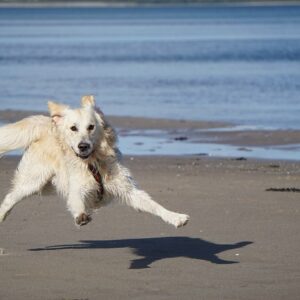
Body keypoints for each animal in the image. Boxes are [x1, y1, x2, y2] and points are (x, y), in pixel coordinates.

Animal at [0, 96, 189, 227]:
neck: (93, 163)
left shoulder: (127, 189)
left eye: (91, 127)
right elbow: (77, 201)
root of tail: (47, 125)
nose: (83, 146)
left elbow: (153, 205)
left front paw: (175, 217)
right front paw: (81, 216)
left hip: (46, 186)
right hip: (33, 181)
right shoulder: (77, 187)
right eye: (73, 128)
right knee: (10, 197)